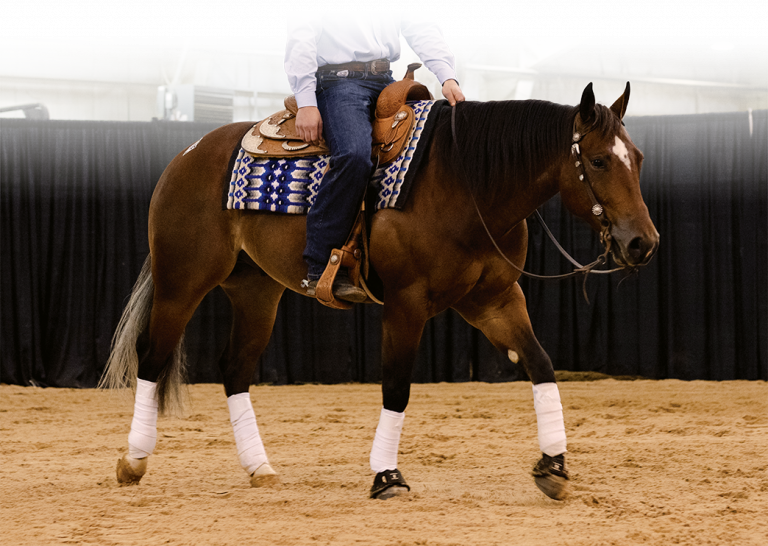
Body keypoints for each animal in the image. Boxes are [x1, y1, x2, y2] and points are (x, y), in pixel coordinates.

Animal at [101, 81, 659, 501]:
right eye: (599, 161)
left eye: (638, 157)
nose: (643, 243)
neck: (466, 181)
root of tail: (189, 153)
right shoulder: (406, 304)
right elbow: (397, 387)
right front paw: (386, 475)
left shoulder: (496, 301)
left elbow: (541, 365)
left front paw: (554, 466)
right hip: (182, 280)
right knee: (152, 356)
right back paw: (134, 460)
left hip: (255, 292)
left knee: (235, 368)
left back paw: (260, 468)